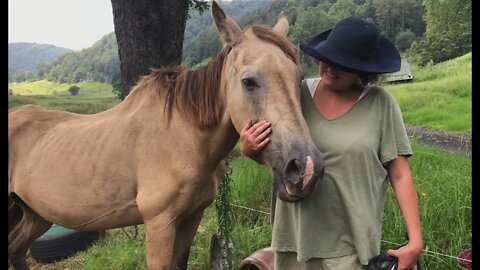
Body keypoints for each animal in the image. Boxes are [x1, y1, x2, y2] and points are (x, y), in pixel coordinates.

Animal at [7, 1, 324, 268]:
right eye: (248, 81)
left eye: (298, 79)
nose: (305, 169)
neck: (182, 136)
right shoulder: (159, 224)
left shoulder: (191, 217)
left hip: (35, 213)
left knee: (15, 249)